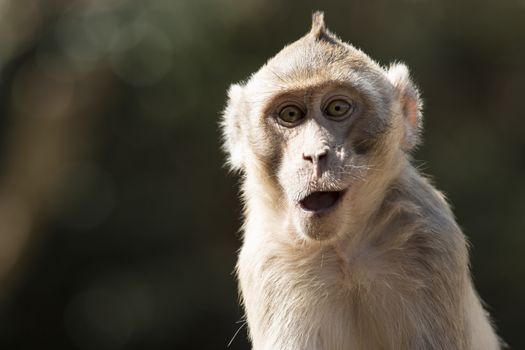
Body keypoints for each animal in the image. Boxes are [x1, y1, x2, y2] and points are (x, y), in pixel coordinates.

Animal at [219, 11, 502, 350]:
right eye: (290, 115)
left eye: (337, 108)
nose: (315, 155)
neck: (344, 251)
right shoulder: (271, 260)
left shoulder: (430, 236)